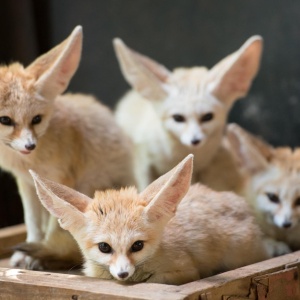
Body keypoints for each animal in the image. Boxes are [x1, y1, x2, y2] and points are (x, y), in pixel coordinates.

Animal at [0, 25, 134, 270]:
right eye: (5, 120)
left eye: (36, 119)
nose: (30, 145)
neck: (31, 161)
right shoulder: (26, 183)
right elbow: (32, 223)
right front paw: (28, 253)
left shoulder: (62, 179)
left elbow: (56, 227)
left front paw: (38, 255)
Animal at [114, 35, 262, 190]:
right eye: (178, 118)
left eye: (207, 117)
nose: (195, 140)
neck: (177, 156)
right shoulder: (143, 159)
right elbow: (145, 183)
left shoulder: (201, 168)